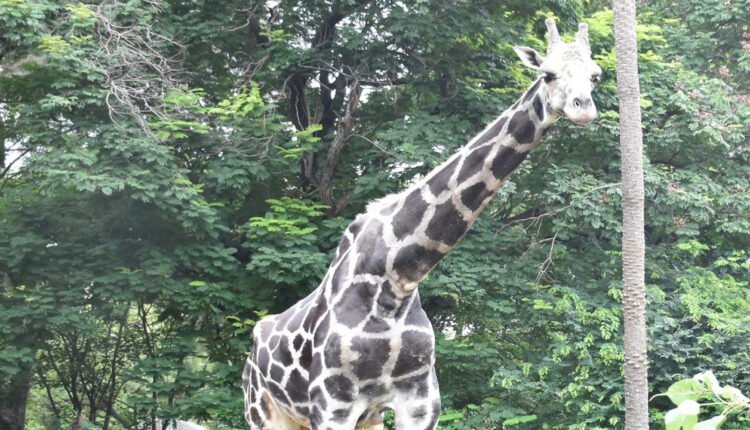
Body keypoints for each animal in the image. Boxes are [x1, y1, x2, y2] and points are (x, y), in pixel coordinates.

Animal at [242, 19, 602, 430]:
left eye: (595, 75)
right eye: (547, 73)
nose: (583, 108)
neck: (396, 281)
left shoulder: (419, 399)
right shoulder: (332, 403)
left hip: (360, 418)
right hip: (264, 411)